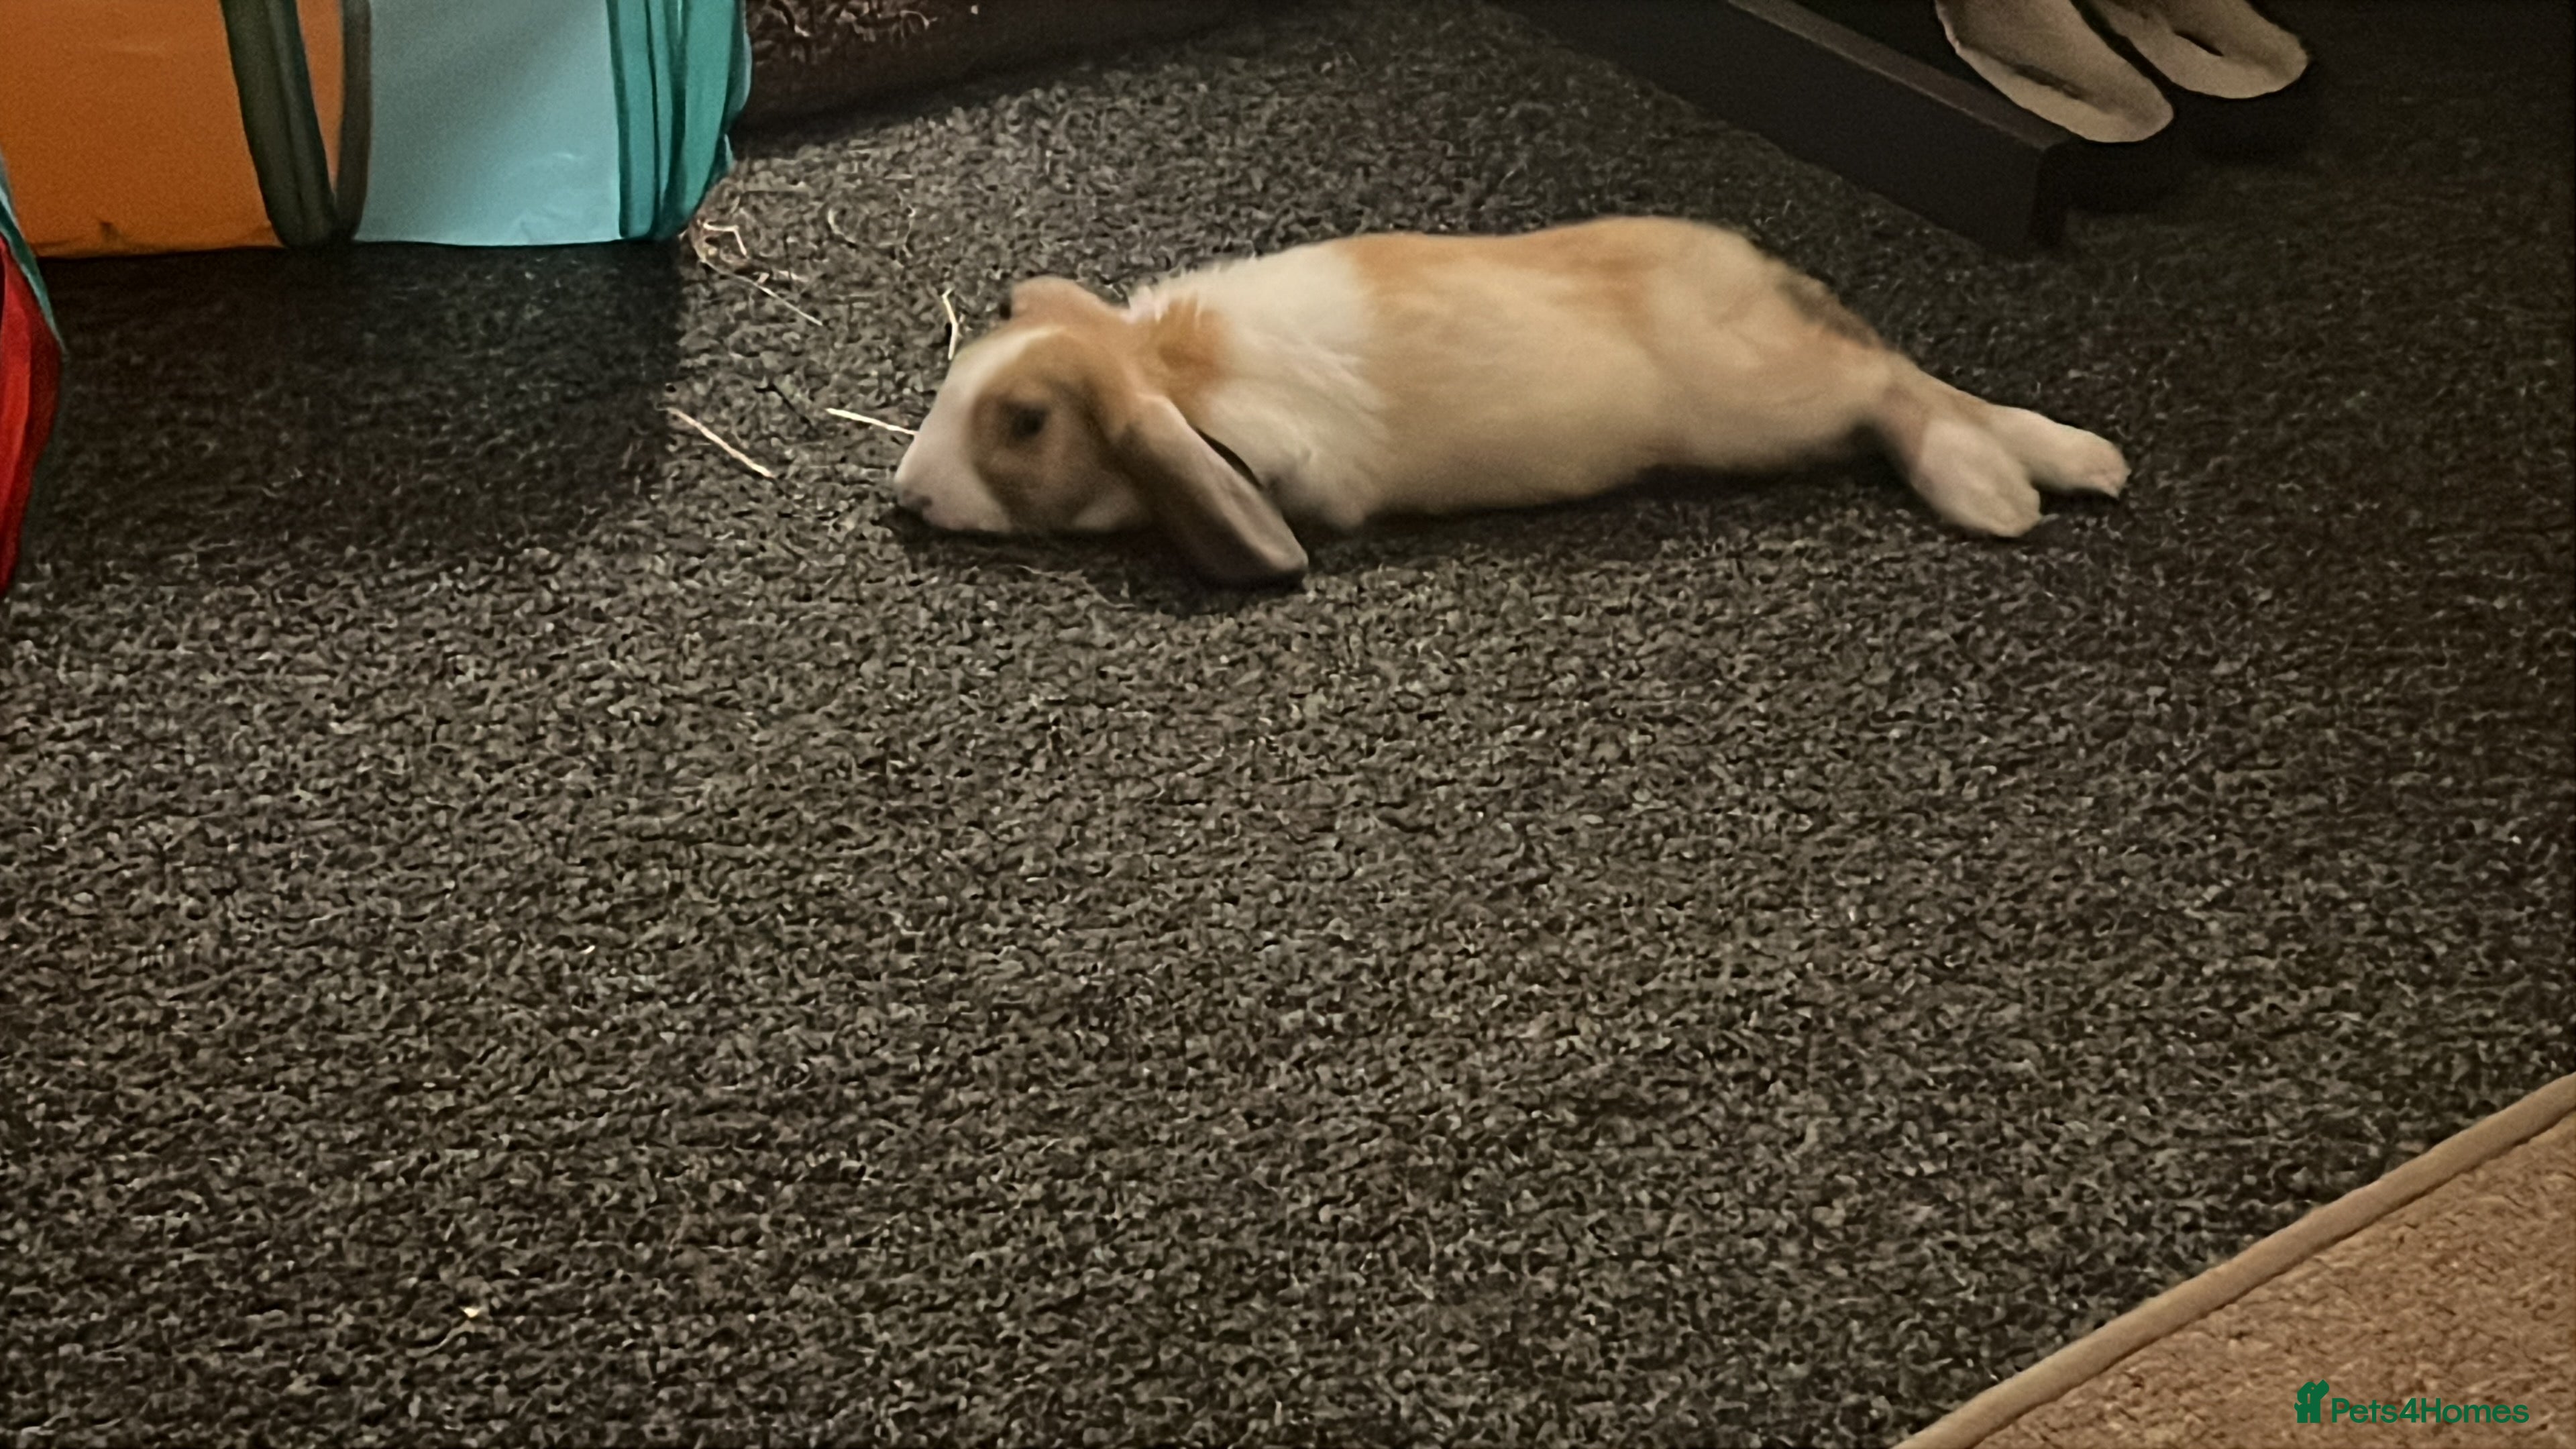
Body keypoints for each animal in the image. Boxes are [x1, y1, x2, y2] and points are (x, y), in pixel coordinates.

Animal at [890, 216, 2128, 585]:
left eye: (1027, 424)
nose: (907, 496)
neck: (1168, 366)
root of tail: (1756, 271)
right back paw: (2073, 461)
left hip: (1767, 404)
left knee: (1896, 389)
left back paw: (2000, 490)